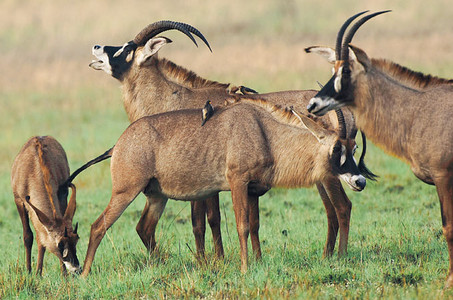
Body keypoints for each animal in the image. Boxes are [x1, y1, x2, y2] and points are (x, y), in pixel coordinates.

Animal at [11, 137, 80, 276]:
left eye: (76, 239)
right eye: (60, 244)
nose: (77, 270)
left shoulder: (62, 196)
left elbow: (41, 239)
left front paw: (61, 274)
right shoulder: (19, 201)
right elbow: (28, 236)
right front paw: (30, 272)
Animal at [79, 99, 366, 276]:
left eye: (354, 147)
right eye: (336, 148)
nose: (359, 181)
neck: (265, 133)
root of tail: (118, 145)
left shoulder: (253, 190)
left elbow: (255, 227)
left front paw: (258, 263)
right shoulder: (238, 182)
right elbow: (243, 226)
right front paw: (245, 269)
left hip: (157, 196)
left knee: (144, 227)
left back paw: (163, 263)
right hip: (125, 191)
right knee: (98, 226)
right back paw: (84, 273)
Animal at [87, 20, 374, 260]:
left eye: (127, 49)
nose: (97, 46)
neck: (174, 96)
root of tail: (346, 109)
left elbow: (206, 221)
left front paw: (212, 261)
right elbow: (207, 221)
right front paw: (214, 260)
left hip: (331, 175)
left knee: (343, 207)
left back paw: (340, 257)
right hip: (321, 177)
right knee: (331, 211)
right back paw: (327, 256)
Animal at [306, 11, 453, 288]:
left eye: (346, 69)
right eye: (332, 68)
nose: (313, 104)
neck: (419, 110)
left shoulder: (443, 177)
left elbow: (448, 228)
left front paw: (449, 280)